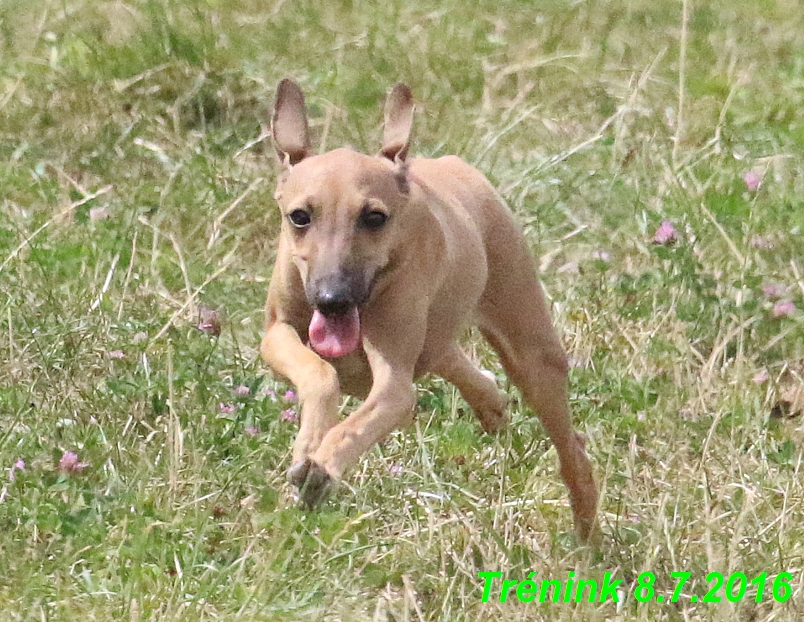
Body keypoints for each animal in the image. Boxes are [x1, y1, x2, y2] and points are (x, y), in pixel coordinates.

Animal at [260, 81, 600, 540]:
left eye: (374, 217)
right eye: (299, 216)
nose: (333, 299)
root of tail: (451, 165)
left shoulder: (394, 384)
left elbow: (365, 416)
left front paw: (323, 466)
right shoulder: (276, 333)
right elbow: (319, 372)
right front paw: (309, 447)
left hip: (532, 352)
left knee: (571, 449)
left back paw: (587, 537)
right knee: (456, 361)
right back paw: (491, 403)